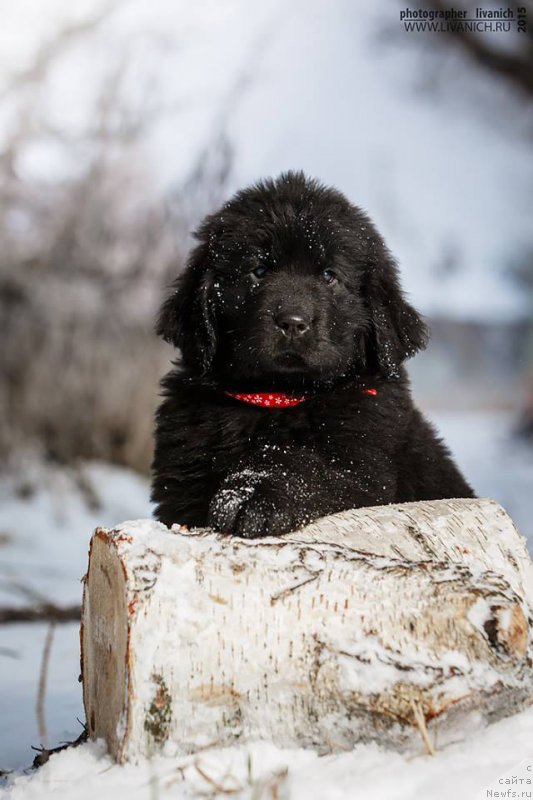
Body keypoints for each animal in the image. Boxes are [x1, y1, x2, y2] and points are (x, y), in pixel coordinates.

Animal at [151, 173, 474, 536]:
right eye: (259, 271)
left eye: (329, 276)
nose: (293, 322)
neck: (278, 397)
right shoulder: (179, 484)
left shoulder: (361, 461)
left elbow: (306, 463)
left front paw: (253, 492)